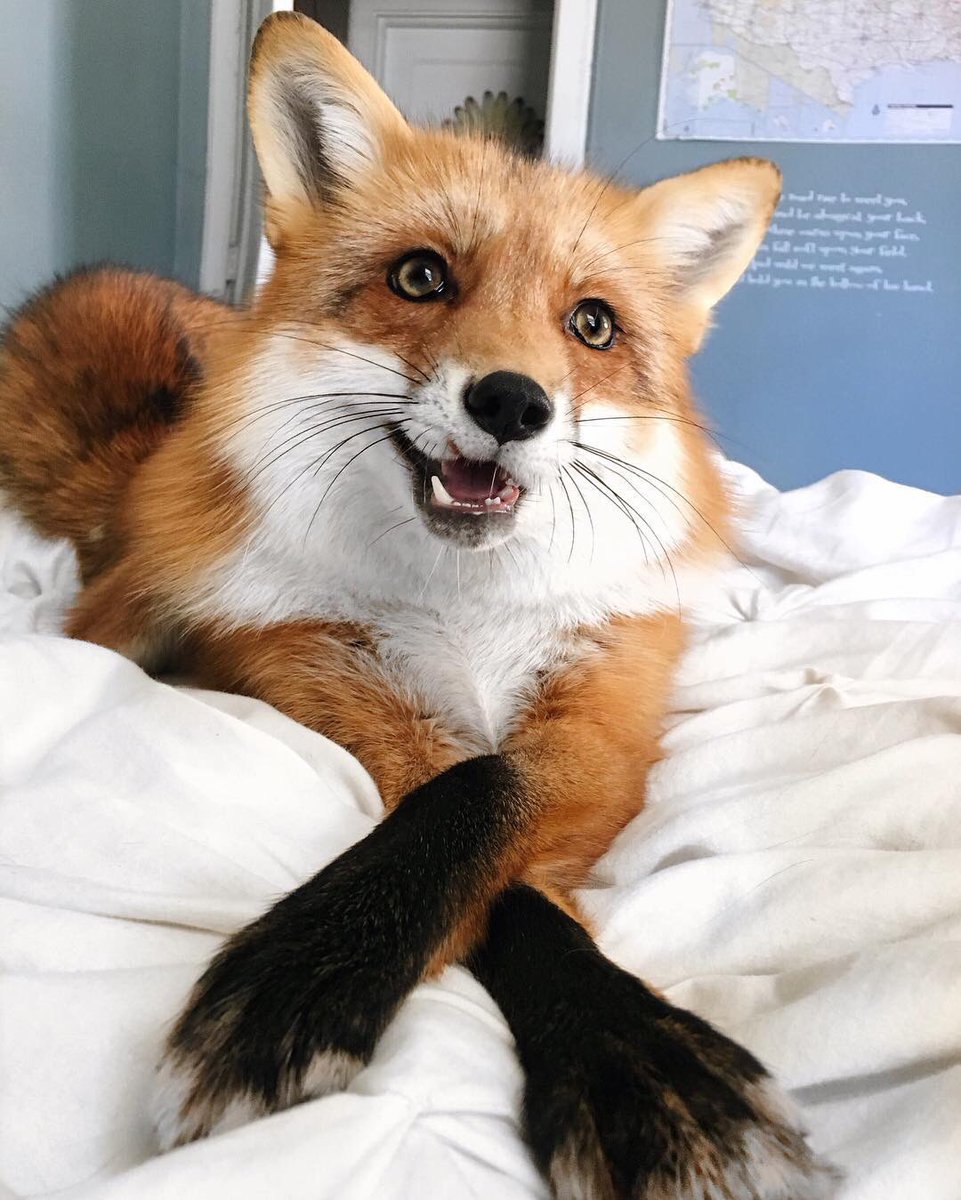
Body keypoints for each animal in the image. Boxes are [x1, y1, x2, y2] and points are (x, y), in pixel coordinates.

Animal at [0, 13, 837, 1199]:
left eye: (591, 325)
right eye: (421, 276)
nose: (511, 402)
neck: (467, 613)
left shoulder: (606, 715)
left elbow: (504, 822)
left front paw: (642, 1067)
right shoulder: (331, 689)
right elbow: (469, 819)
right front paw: (304, 979)